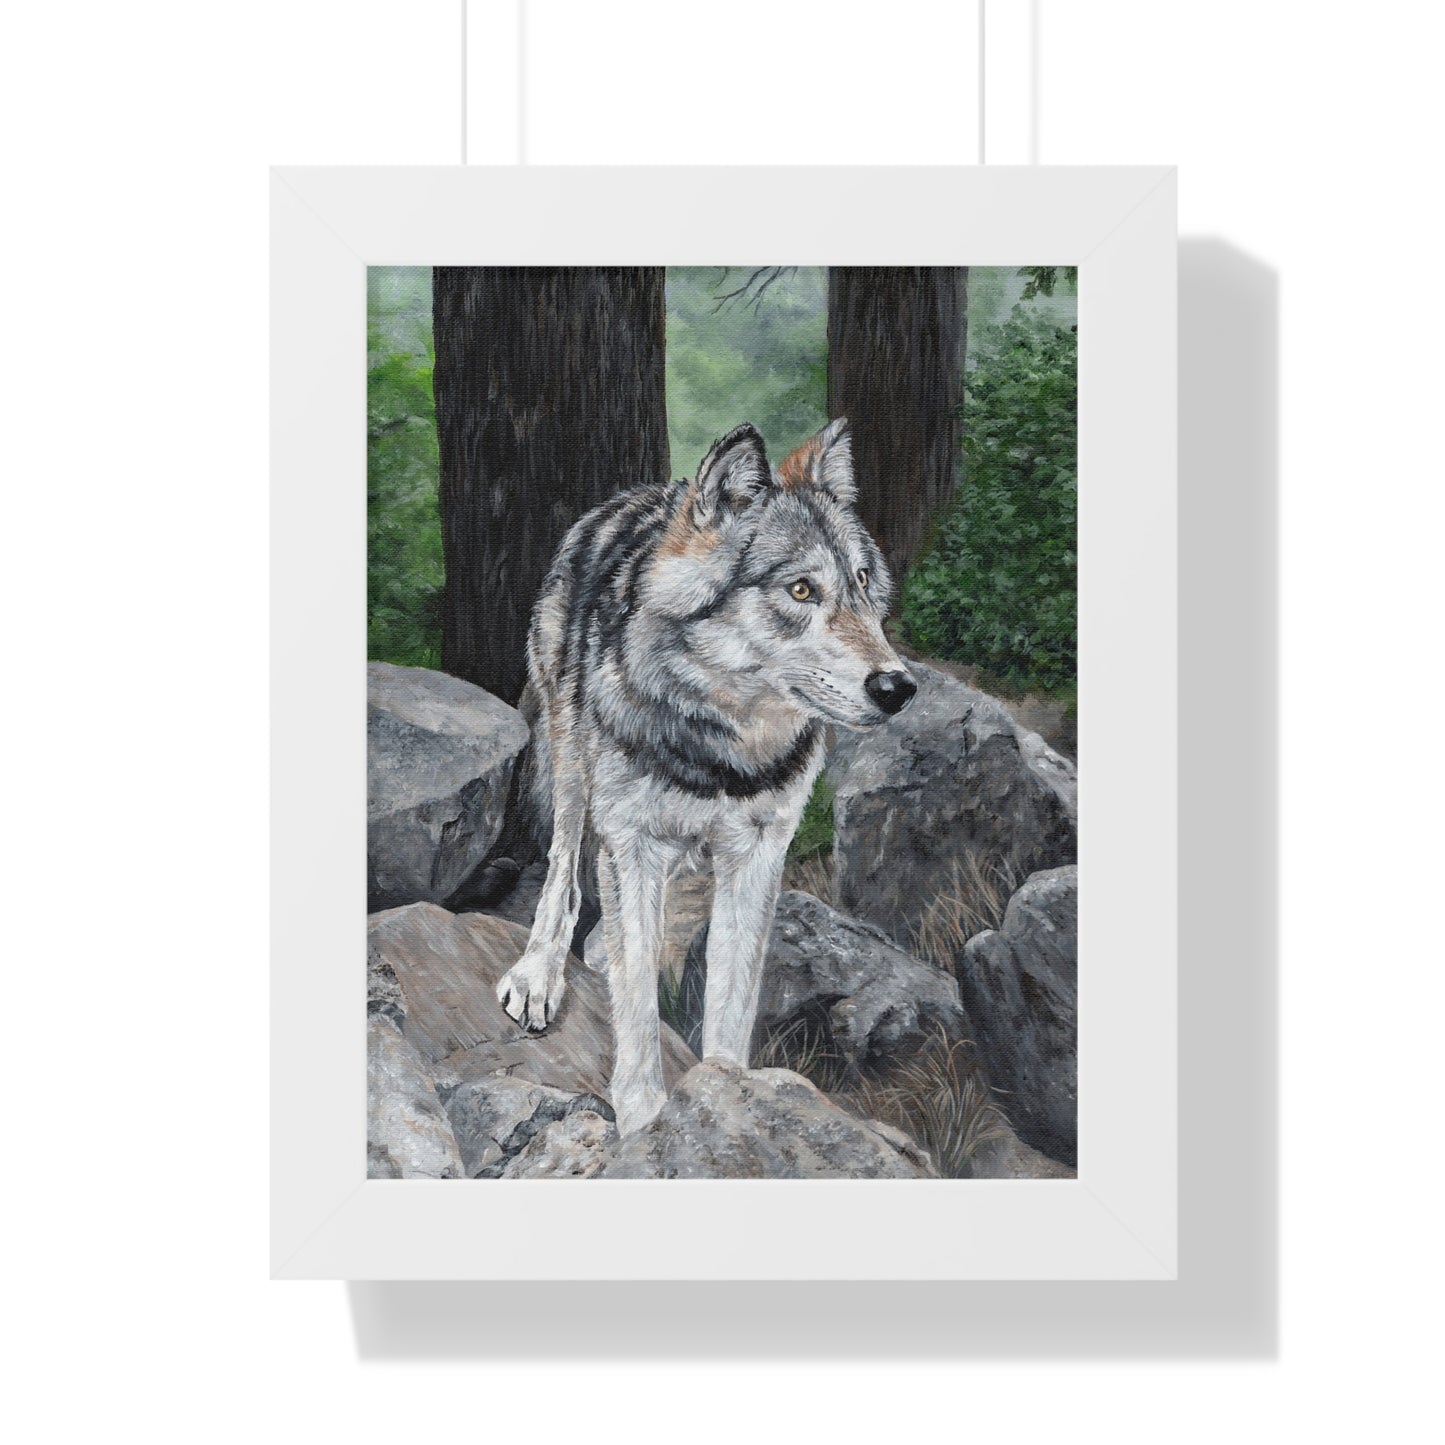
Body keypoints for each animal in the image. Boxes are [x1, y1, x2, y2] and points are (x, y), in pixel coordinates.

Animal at [495, 418, 917, 1134]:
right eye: (801, 590)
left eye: (863, 582)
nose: (899, 687)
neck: (723, 751)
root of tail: (636, 495)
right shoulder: (632, 841)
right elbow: (638, 1002)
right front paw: (645, 1121)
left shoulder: (758, 854)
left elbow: (729, 998)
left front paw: (729, 1099)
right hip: (571, 761)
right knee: (563, 872)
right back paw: (540, 971)